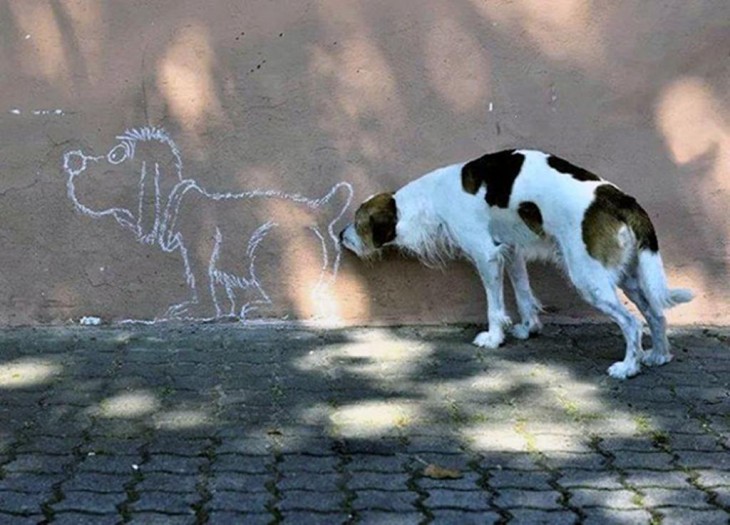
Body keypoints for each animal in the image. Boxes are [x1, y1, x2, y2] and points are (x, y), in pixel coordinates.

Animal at [338, 149, 692, 378]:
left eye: (358, 223)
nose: (340, 235)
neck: (430, 199)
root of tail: (621, 200)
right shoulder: (511, 252)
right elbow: (523, 294)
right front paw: (528, 328)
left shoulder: (486, 255)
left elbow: (495, 306)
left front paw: (494, 338)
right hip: (627, 277)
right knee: (656, 314)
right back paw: (659, 355)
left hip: (588, 278)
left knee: (632, 323)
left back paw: (628, 367)